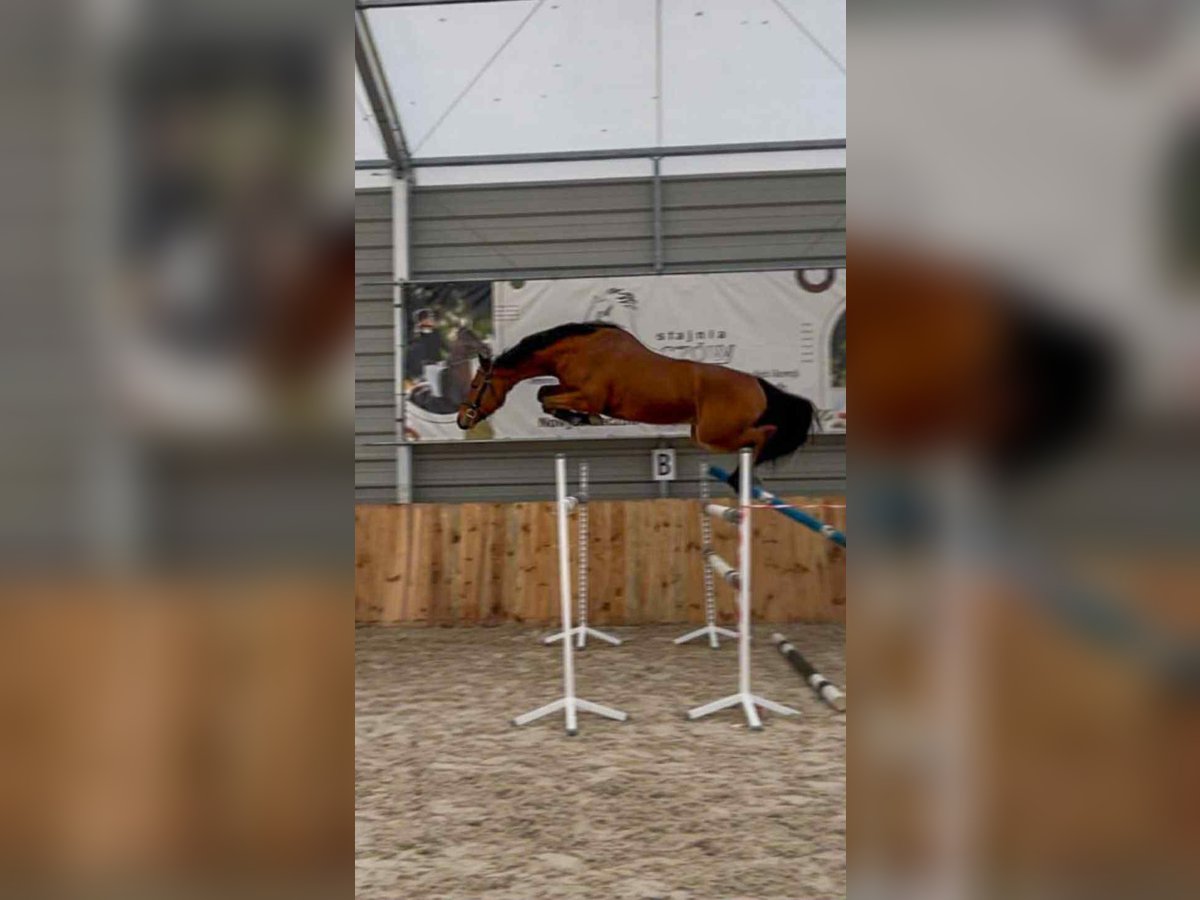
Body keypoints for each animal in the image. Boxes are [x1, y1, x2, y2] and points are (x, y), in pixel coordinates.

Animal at [456, 322, 815, 482]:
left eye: (475, 384)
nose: (462, 419)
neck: (578, 351)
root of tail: (758, 384)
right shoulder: (569, 388)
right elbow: (544, 394)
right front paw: (579, 419)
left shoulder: (588, 395)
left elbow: (547, 397)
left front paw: (585, 419)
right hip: (703, 435)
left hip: (717, 434)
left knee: (764, 434)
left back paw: (740, 480)